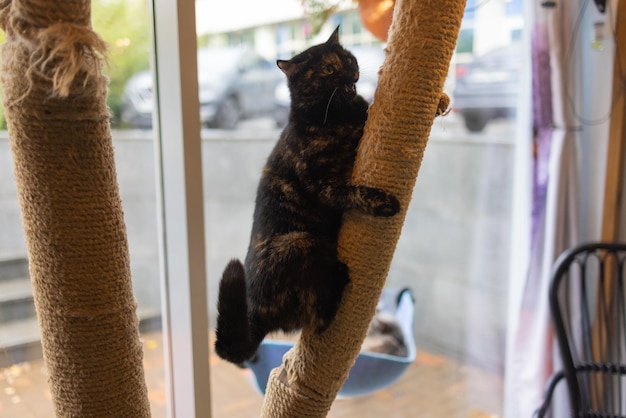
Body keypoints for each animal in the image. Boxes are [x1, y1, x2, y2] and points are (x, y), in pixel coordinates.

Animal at [214, 27, 400, 364]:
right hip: (299, 242)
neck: (337, 116)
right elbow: (353, 192)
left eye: (347, 59)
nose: (350, 73)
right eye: (327, 70)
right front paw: (384, 202)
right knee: (318, 320)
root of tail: (256, 315)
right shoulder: (322, 184)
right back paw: (340, 278)